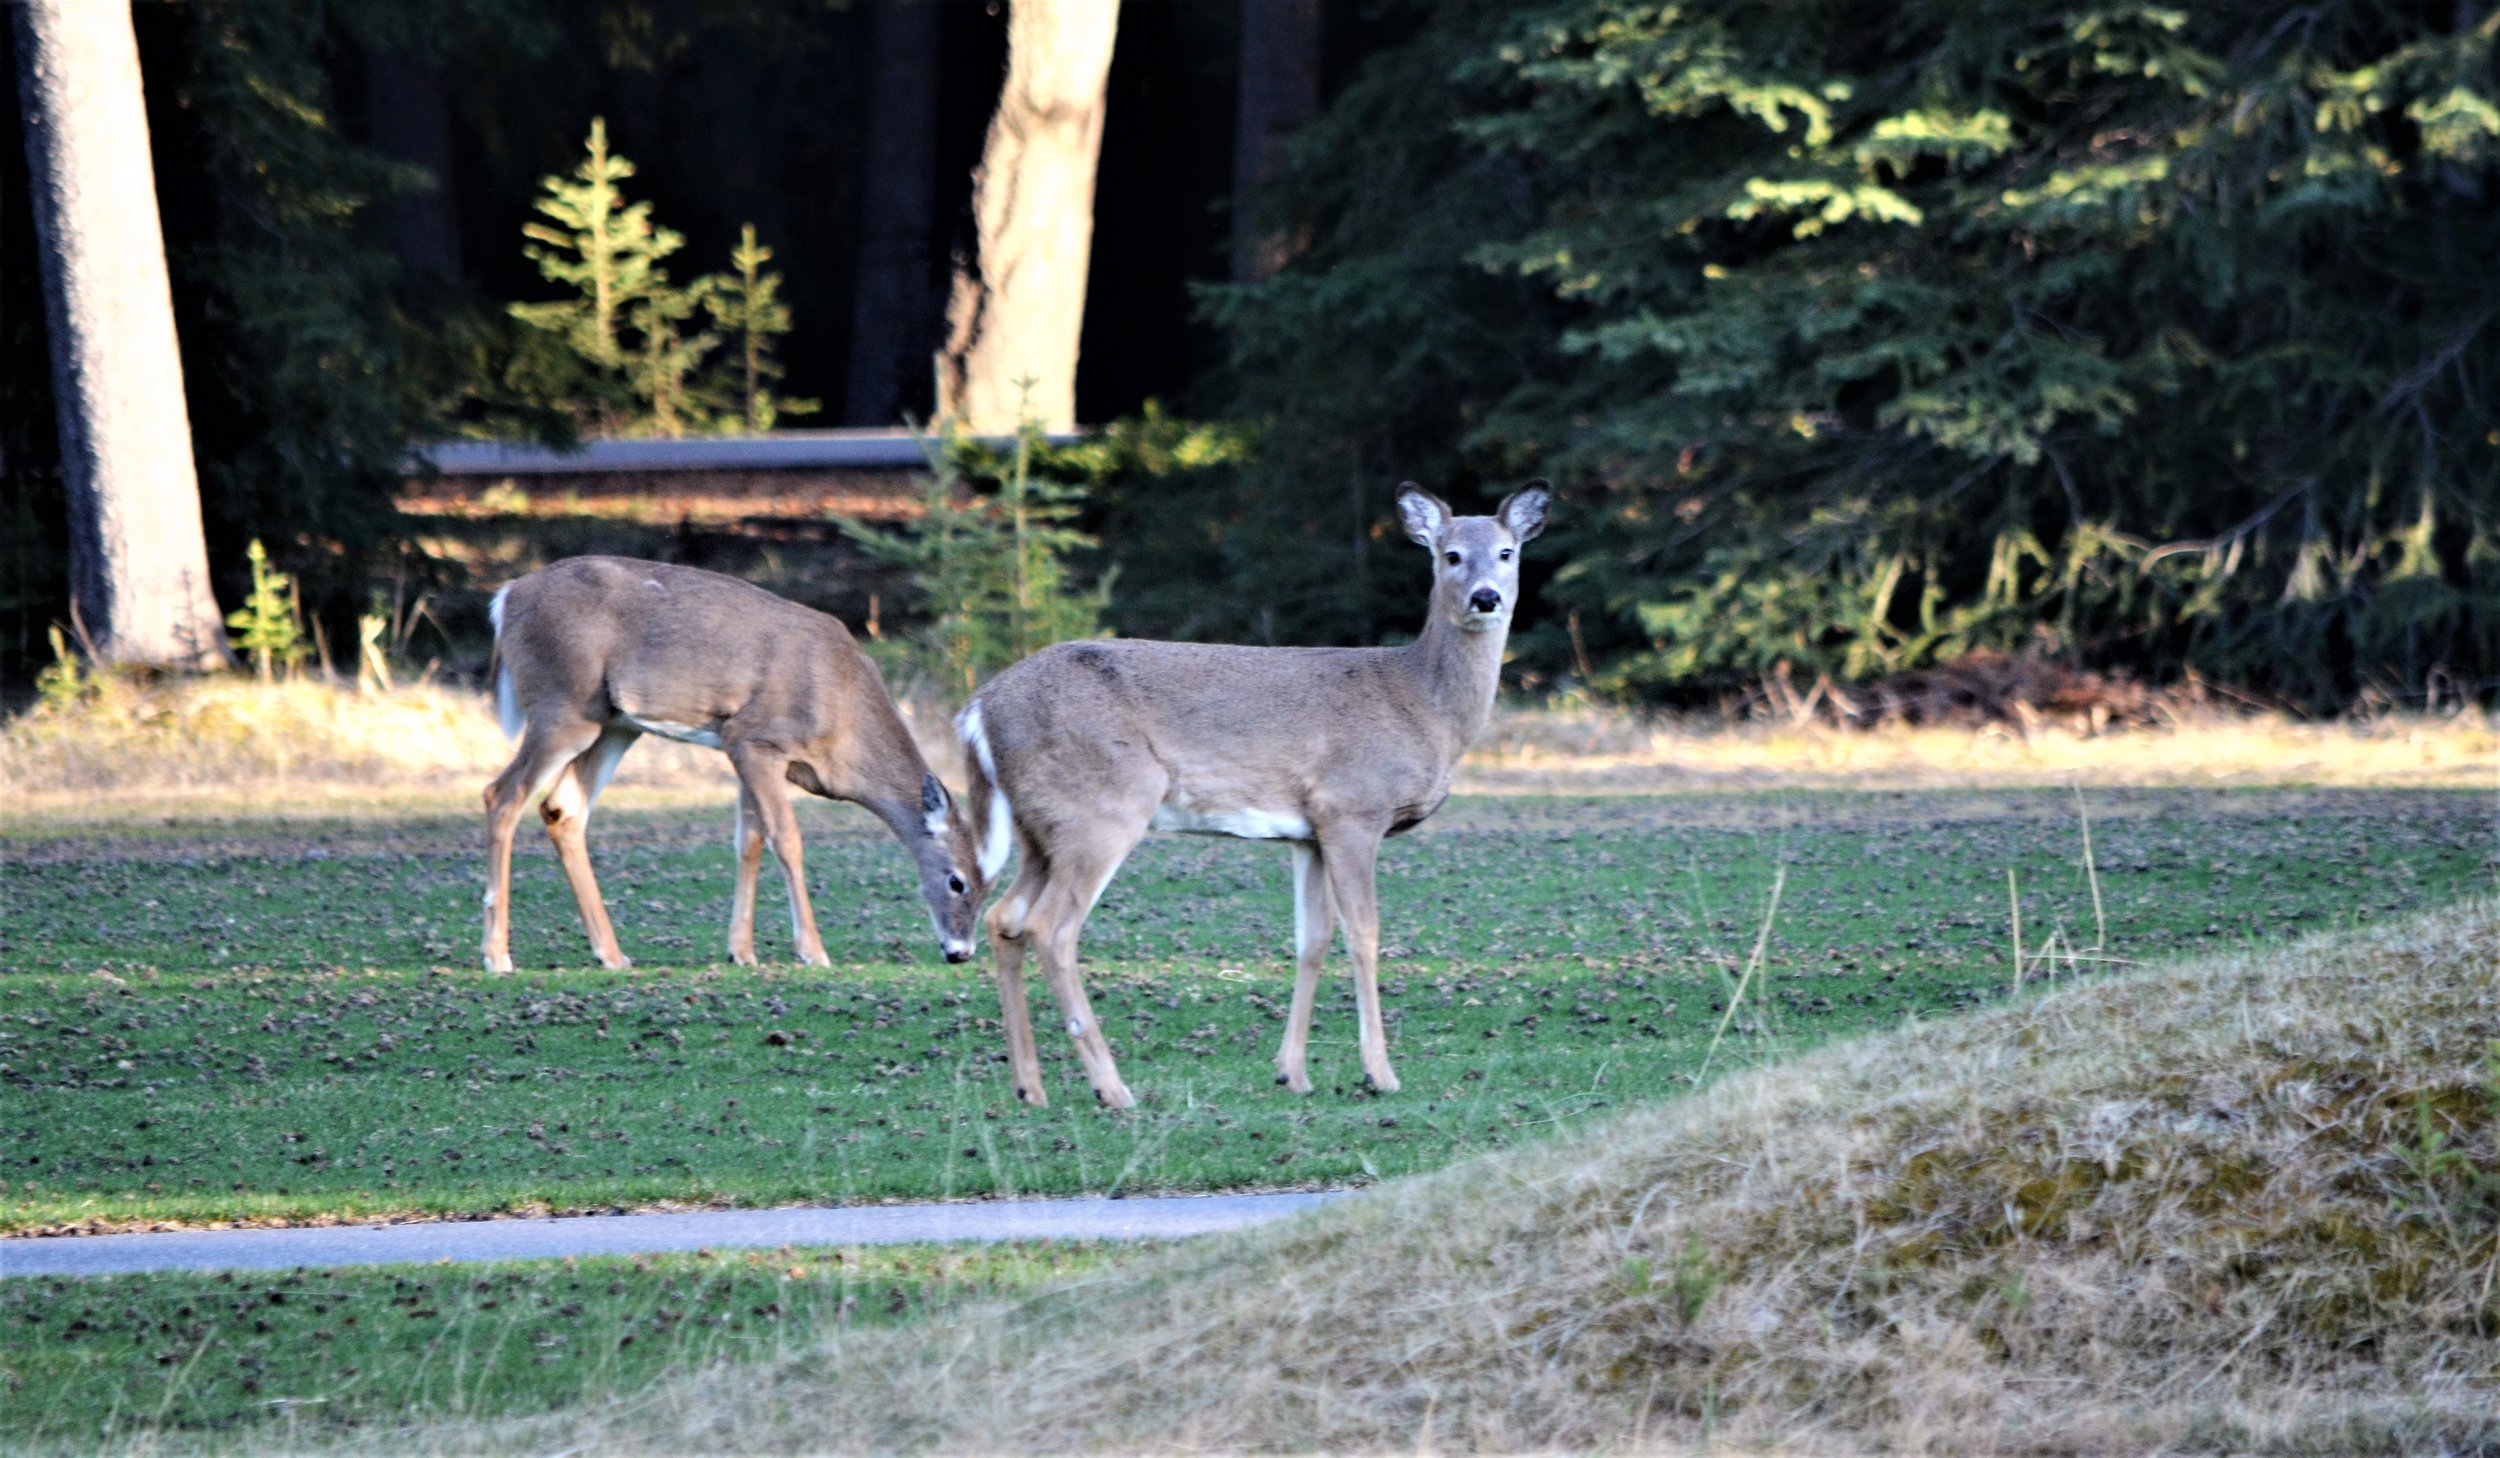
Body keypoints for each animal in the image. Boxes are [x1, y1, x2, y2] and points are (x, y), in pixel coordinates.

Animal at [477, 560, 985, 980]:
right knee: (501, 795)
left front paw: (741, 951)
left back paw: (613, 955)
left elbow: (750, 840)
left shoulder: (742, 747)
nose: (960, 952)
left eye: (990, 882)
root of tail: (506, 598)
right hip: (561, 705)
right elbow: (786, 838)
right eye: (956, 880)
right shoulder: (755, 737)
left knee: (563, 809)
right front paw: (812, 951)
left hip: (614, 723)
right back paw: (498, 956)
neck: (844, 723)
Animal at [955, 480, 1540, 1105]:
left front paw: (1293, 1072)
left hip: (1040, 830)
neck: (1423, 706)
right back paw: (1113, 1089)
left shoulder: (1309, 832)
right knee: (1051, 928)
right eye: (1450, 555)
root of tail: (978, 709)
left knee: (1004, 918)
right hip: (1103, 807)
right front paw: (1379, 1073)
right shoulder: (1352, 808)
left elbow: (1312, 940)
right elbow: (1364, 933)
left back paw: (1030, 1088)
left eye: (1507, 553)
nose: (1485, 597)